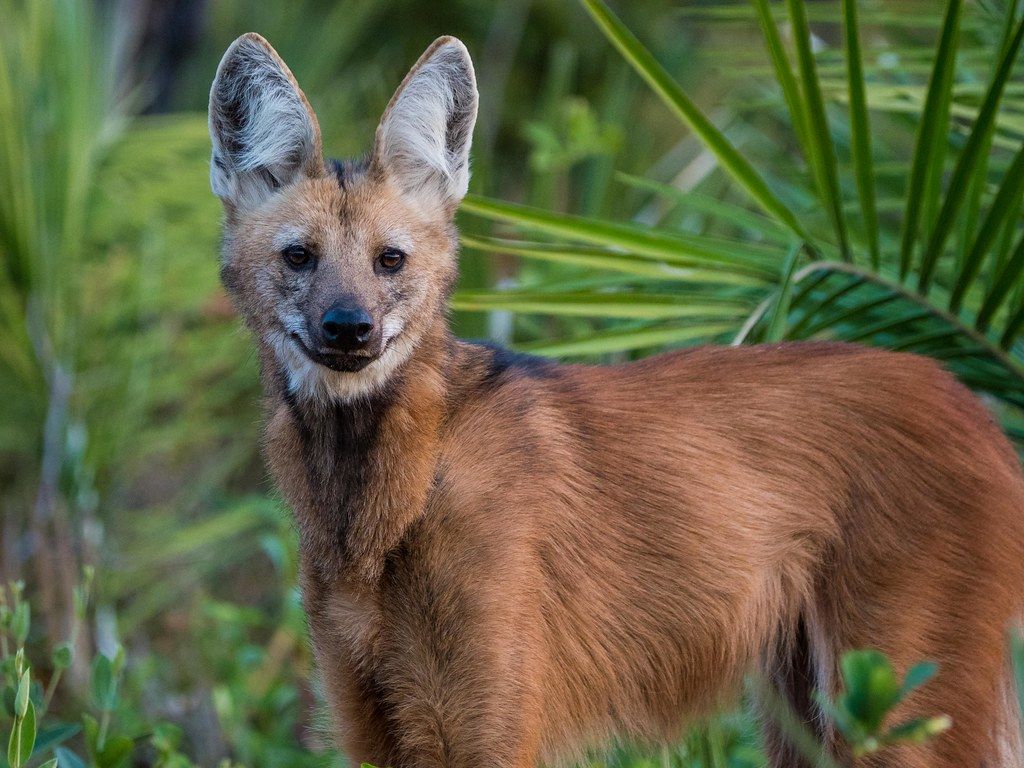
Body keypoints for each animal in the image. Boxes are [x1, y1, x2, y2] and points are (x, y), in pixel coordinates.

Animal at [209, 33, 1024, 768]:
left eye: (390, 260)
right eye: (299, 257)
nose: (349, 328)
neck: (381, 506)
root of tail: (971, 402)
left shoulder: (486, 725)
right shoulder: (371, 716)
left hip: (894, 701)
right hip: (807, 710)